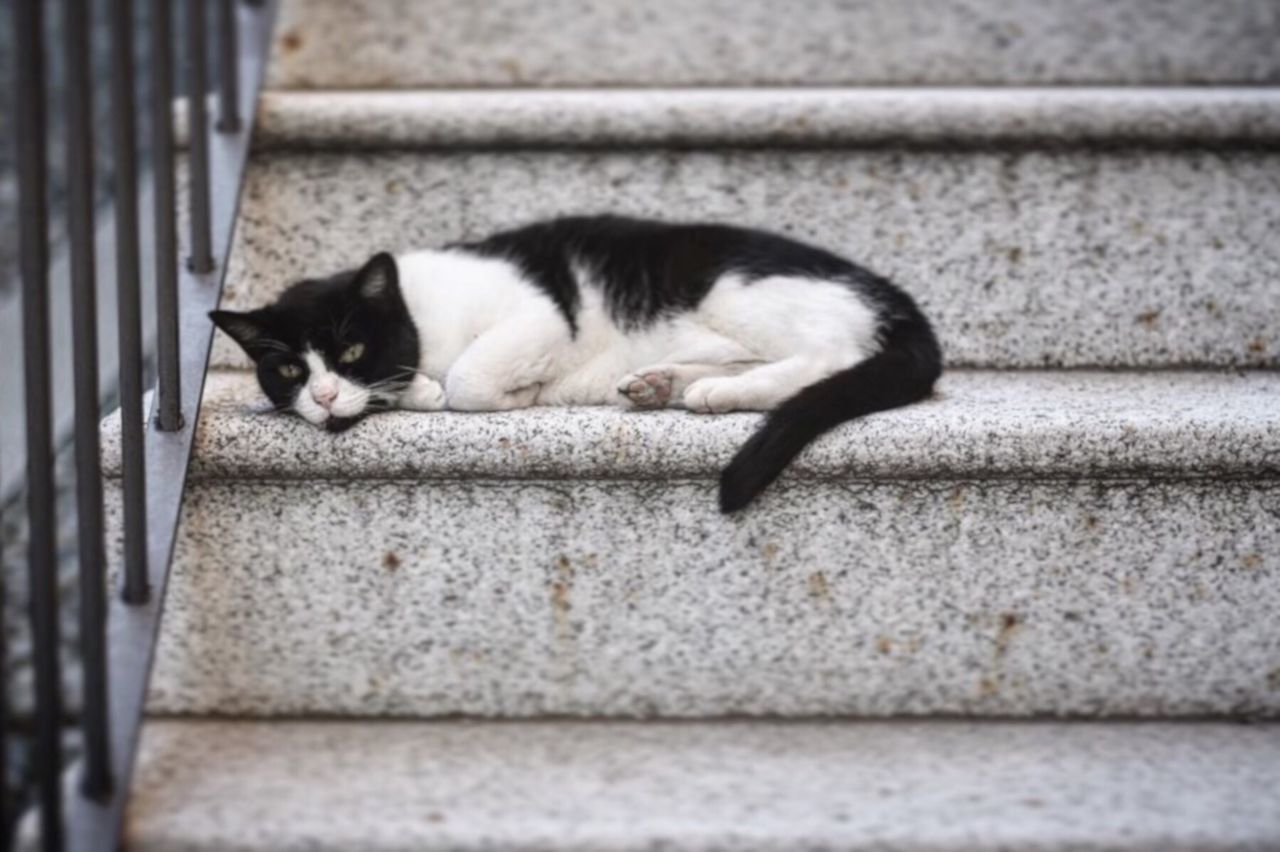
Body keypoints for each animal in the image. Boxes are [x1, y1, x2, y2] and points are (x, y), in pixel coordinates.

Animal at [204, 216, 936, 506]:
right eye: (290, 371)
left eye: (351, 348)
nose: (324, 397)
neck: (422, 319)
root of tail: (897, 298)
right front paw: (411, 392)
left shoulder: (540, 313)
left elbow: (469, 379)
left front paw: (502, 392)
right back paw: (665, 384)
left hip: (739, 289)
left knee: (830, 355)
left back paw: (721, 394)